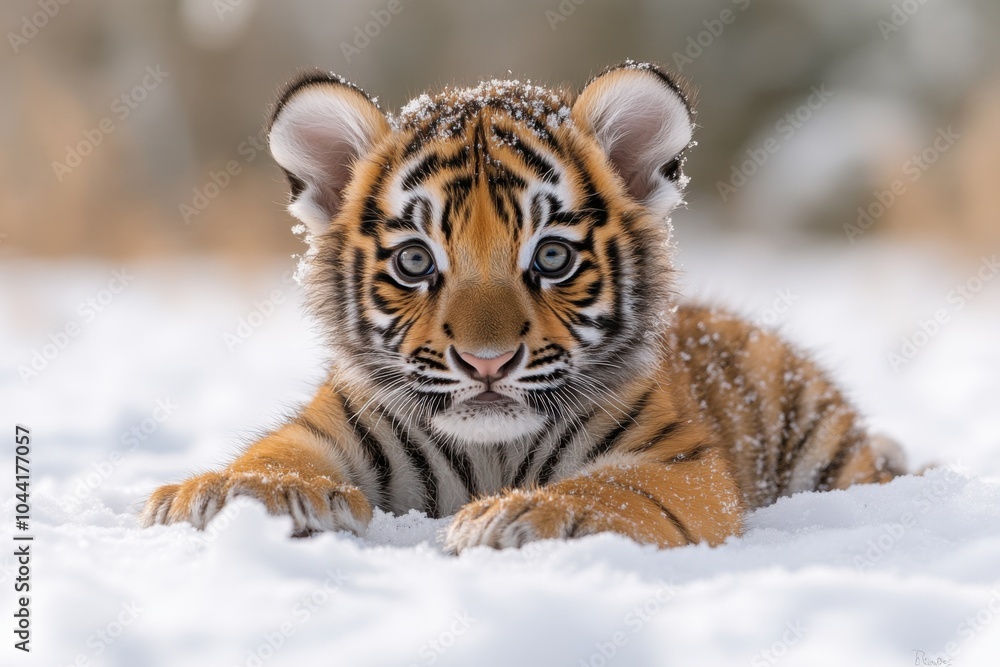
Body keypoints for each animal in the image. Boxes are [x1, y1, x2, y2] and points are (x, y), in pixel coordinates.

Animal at [140, 61, 907, 552]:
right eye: (415, 260)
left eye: (553, 257)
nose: (487, 362)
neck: (492, 453)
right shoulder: (333, 425)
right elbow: (274, 452)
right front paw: (226, 493)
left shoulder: (678, 461)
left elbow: (613, 489)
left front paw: (526, 513)